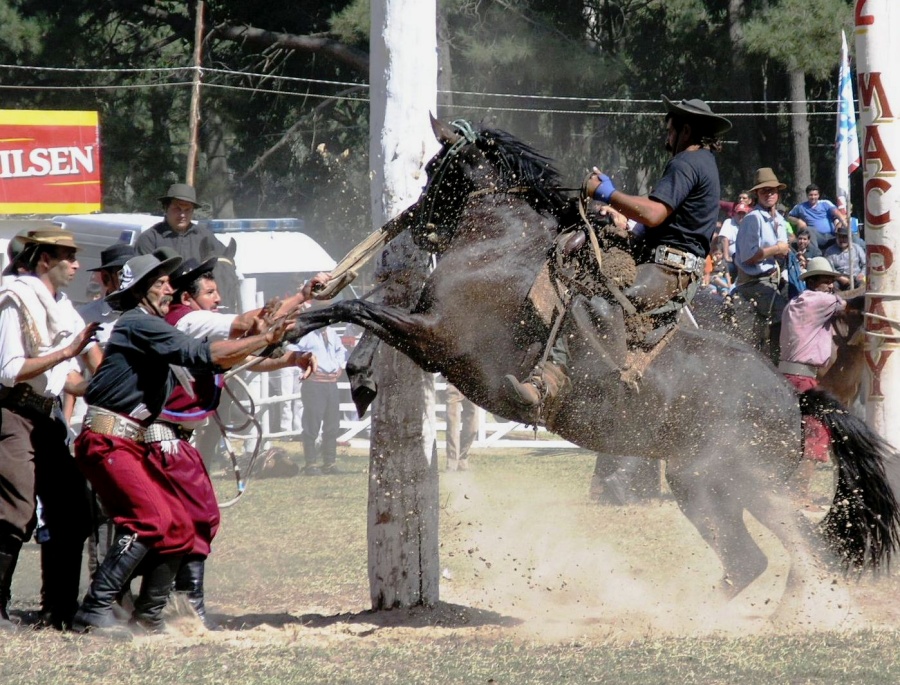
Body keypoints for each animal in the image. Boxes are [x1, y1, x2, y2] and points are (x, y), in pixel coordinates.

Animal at [292, 119, 900, 624]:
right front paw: (357, 375)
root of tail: (792, 399)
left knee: (794, 548)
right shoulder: (429, 329)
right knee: (756, 558)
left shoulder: (442, 337)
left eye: (434, 167)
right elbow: (374, 313)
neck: (502, 245)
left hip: (734, 482)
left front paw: (296, 324)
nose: (416, 224)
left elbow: (360, 307)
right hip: (708, 485)